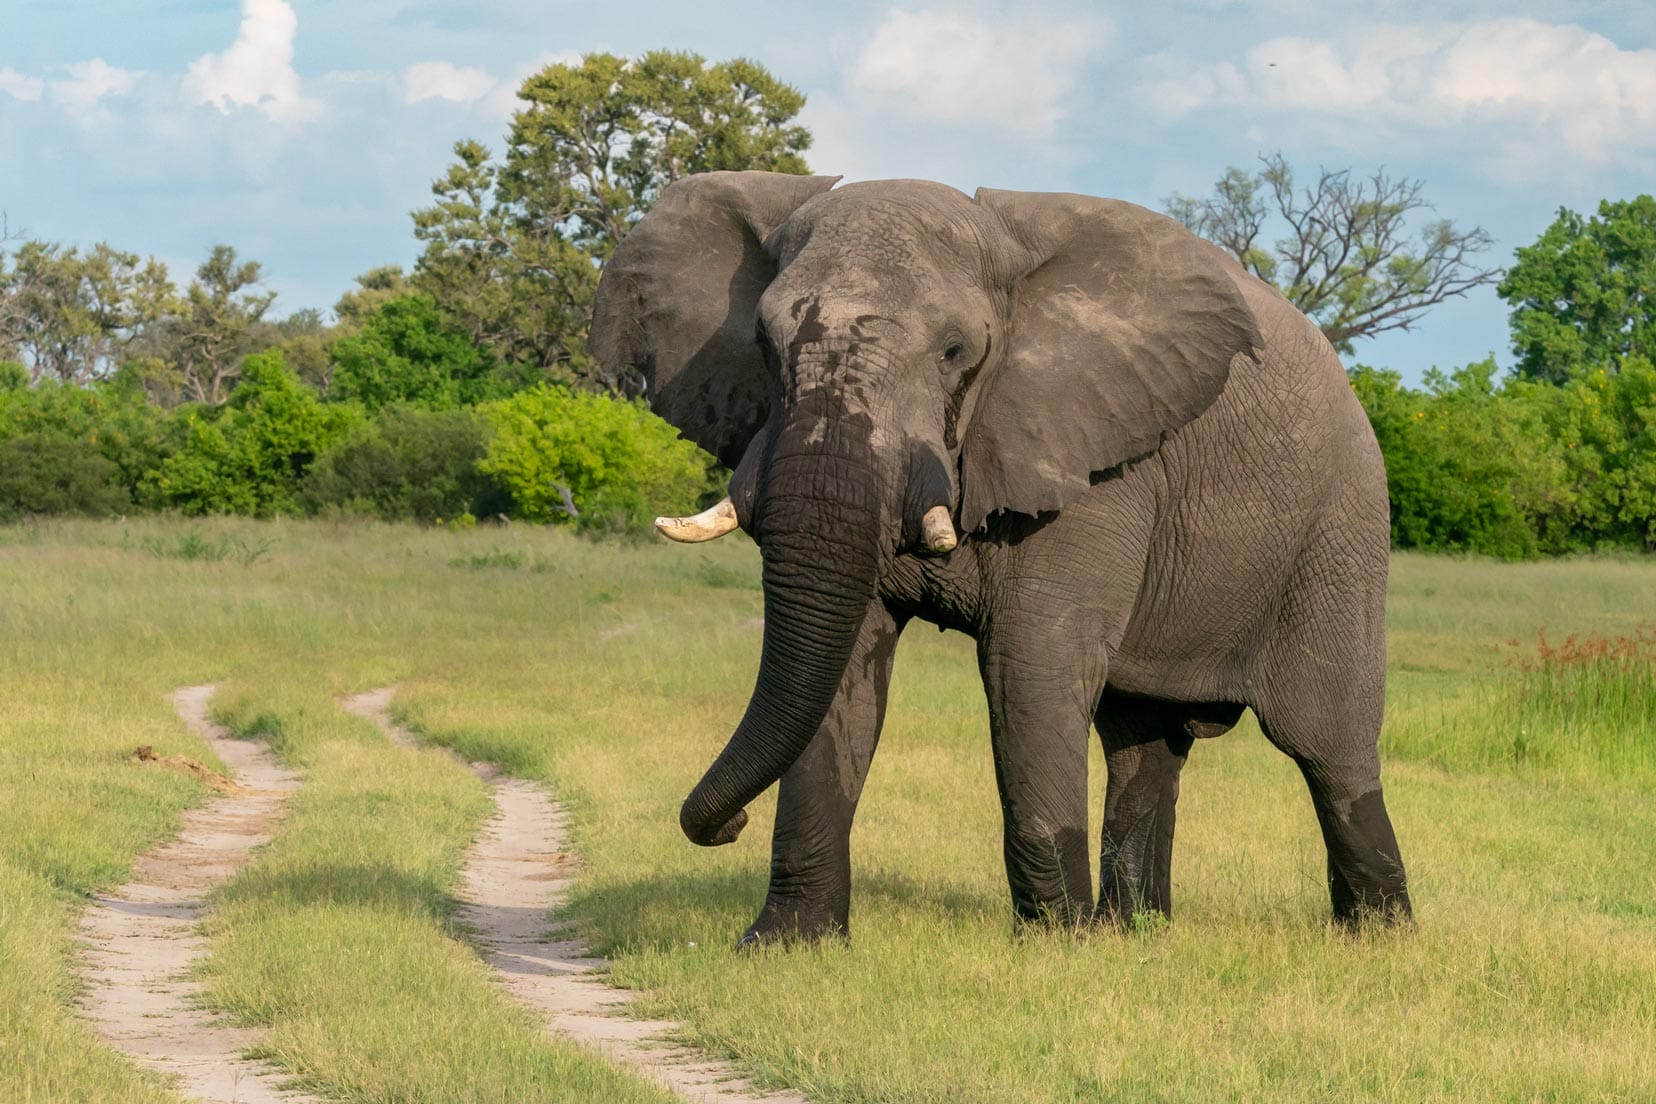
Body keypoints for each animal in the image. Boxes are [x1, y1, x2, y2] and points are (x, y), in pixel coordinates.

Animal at [589, 172, 1417, 953]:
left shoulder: (1090, 457)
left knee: (1327, 746)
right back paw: (1135, 935)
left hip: (1341, 526)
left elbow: (1031, 666)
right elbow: (844, 668)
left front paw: (1054, 949)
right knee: (1141, 744)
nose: (725, 828)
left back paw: (1379, 940)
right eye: (763, 344)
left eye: (956, 352)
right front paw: (782, 945)